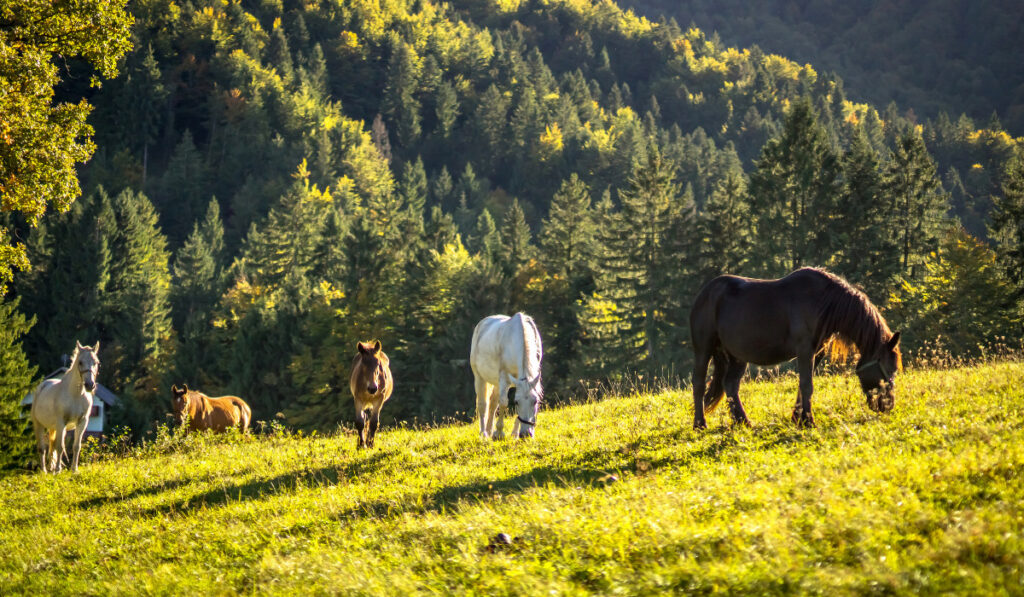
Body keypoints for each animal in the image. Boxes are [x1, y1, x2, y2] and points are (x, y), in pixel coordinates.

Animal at [31, 344, 100, 475]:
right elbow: (60, 447)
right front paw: (58, 470)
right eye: (80, 362)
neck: (76, 395)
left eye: (96, 362)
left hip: (55, 427)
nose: (90, 385)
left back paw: (50, 468)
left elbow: (76, 446)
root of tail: (42, 386)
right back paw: (44, 471)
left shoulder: (82, 422)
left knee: (52, 446)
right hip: (39, 425)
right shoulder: (61, 422)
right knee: (42, 448)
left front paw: (74, 469)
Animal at [692, 268, 901, 430]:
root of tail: (705, 293)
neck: (821, 302)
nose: (888, 405)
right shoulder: (805, 351)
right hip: (703, 349)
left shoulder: (816, 353)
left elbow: (803, 385)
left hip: (737, 355)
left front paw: (798, 418)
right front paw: (808, 421)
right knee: (699, 384)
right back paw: (700, 424)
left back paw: (743, 422)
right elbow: (807, 385)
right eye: (890, 369)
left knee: (730, 385)